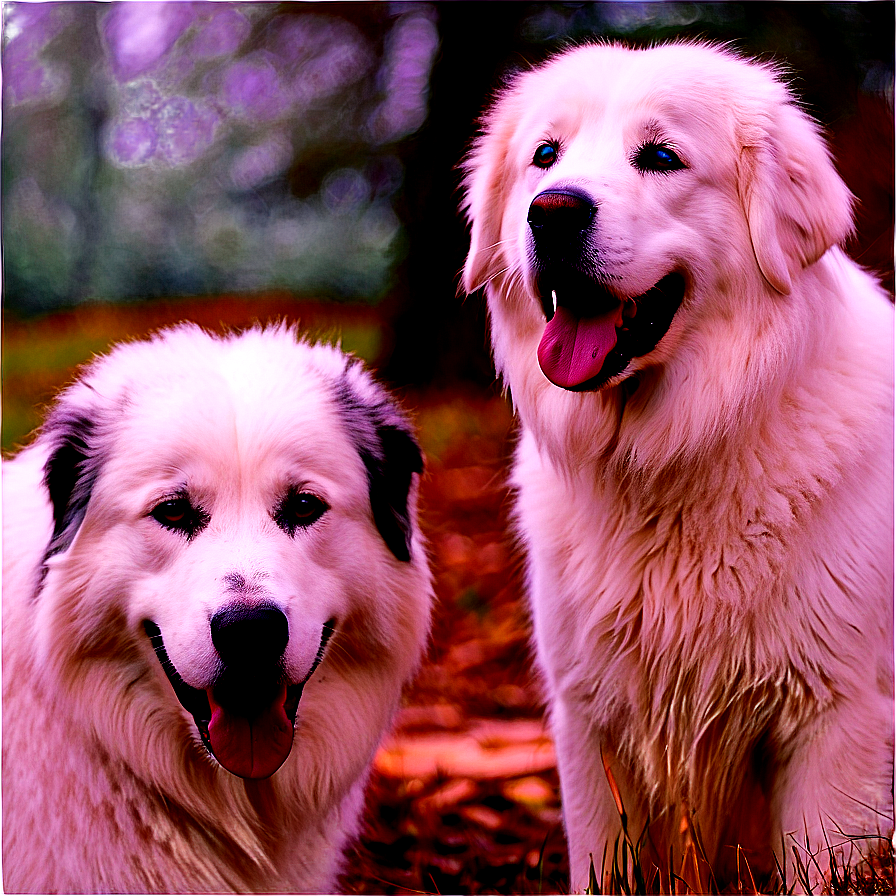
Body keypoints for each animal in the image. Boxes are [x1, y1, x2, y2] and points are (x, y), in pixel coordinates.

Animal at [462, 40, 896, 888]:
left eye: (661, 157)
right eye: (545, 156)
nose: (551, 212)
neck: (671, 453)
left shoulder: (837, 719)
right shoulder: (589, 720)